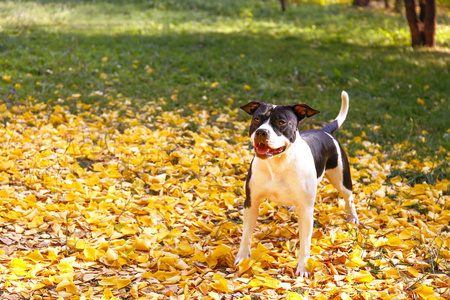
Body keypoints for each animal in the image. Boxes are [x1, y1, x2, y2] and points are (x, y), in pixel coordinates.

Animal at [236, 91, 358, 276]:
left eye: (281, 122)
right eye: (257, 119)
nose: (261, 132)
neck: (278, 164)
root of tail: (324, 132)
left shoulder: (307, 211)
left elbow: (305, 243)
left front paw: (303, 267)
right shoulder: (251, 203)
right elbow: (246, 234)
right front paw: (242, 257)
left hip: (342, 178)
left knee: (348, 197)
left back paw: (353, 217)